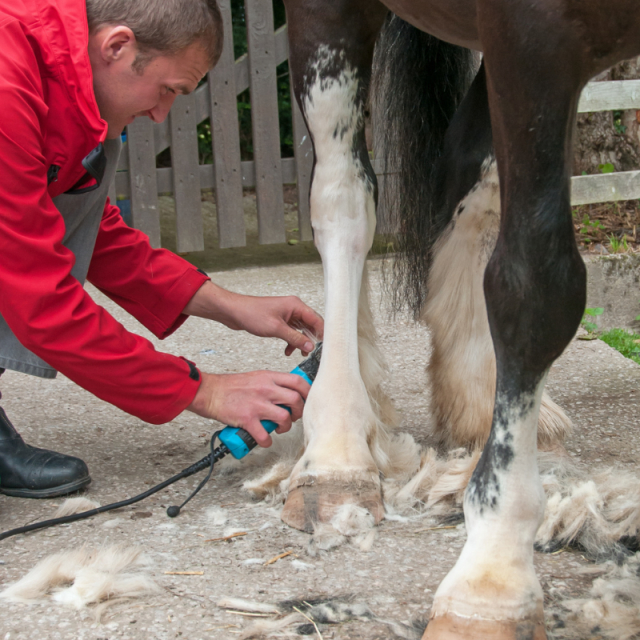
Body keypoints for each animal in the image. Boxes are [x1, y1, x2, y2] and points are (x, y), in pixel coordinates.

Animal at [277, 0, 640, 637]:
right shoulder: (535, 37)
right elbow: (535, 285)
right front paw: (492, 584)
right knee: (344, 193)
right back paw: (339, 450)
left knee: (467, 173)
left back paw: (469, 393)